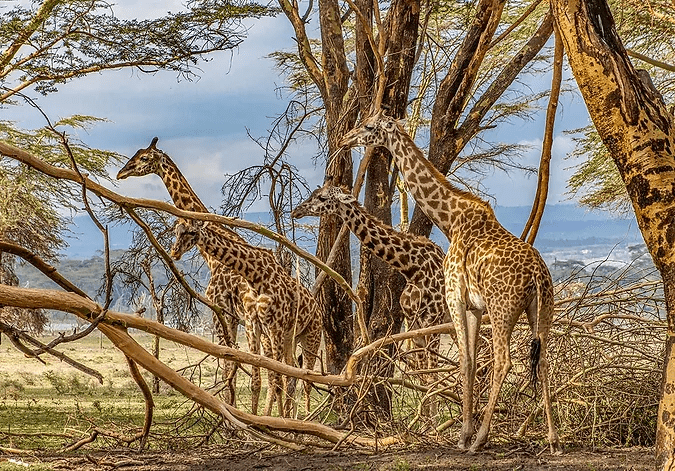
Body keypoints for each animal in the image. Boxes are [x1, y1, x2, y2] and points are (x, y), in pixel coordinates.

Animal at [115, 138, 266, 412]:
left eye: (144, 158)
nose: (121, 173)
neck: (211, 255)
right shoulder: (231, 316)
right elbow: (232, 365)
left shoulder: (219, 307)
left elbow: (228, 362)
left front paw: (228, 415)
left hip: (253, 321)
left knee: (260, 374)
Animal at [172, 218, 324, 416]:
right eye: (176, 231)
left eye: (191, 232)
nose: (174, 252)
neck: (255, 276)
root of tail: (317, 309)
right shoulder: (253, 325)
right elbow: (257, 381)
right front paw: (255, 418)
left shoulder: (274, 327)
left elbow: (276, 379)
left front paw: (277, 419)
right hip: (290, 339)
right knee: (291, 376)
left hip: (311, 337)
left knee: (306, 379)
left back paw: (305, 417)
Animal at [290, 183, 454, 380]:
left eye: (322, 197)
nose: (296, 211)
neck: (412, 268)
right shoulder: (415, 324)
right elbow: (423, 375)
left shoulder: (432, 319)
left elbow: (431, 375)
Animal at [340, 112, 564, 456]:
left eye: (368, 126)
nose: (344, 139)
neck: (450, 220)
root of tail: (537, 275)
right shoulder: (474, 307)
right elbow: (468, 363)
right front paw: (463, 431)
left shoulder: (455, 297)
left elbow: (464, 362)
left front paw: (464, 436)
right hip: (541, 308)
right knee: (543, 362)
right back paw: (553, 439)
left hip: (502, 309)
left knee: (503, 361)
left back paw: (483, 438)